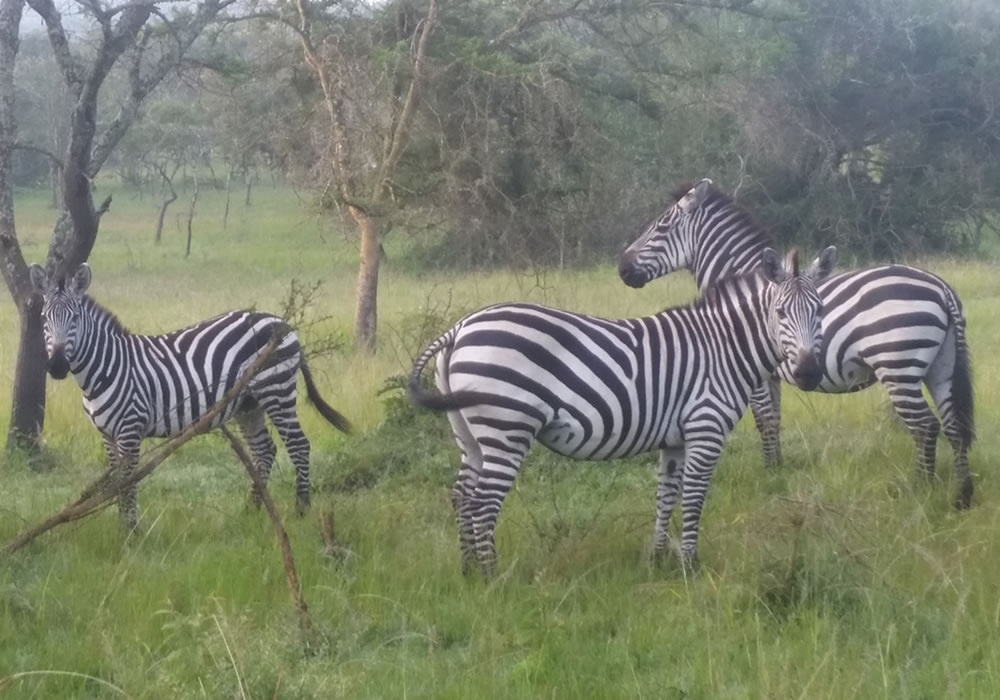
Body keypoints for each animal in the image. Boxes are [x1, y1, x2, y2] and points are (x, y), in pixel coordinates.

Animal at [29, 262, 352, 532]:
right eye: (44, 318)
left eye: (74, 318)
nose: (56, 366)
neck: (106, 368)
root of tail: (279, 321)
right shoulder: (107, 433)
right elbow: (117, 481)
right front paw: (123, 524)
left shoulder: (131, 428)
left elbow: (129, 480)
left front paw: (131, 530)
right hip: (249, 404)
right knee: (265, 450)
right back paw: (252, 509)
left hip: (277, 389)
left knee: (298, 445)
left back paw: (301, 509)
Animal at [406, 246, 836, 576]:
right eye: (780, 313)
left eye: (819, 312)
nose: (809, 373)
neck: (724, 346)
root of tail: (460, 327)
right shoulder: (705, 428)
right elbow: (694, 498)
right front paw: (690, 564)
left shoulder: (675, 440)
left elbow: (666, 495)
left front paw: (658, 558)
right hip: (506, 427)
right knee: (482, 503)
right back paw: (493, 576)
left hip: (470, 432)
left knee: (462, 496)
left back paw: (468, 571)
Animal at [620, 179, 972, 508]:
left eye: (661, 226)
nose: (622, 268)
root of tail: (941, 287)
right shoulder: (769, 372)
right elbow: (774, 418)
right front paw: (777, 467)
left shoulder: (754, 374)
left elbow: (764, 419)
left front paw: (768, 470)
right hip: (939, 367)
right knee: (954, 426)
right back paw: (961, 495)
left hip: (898, 366)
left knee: (926, 426)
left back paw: (921, 487)